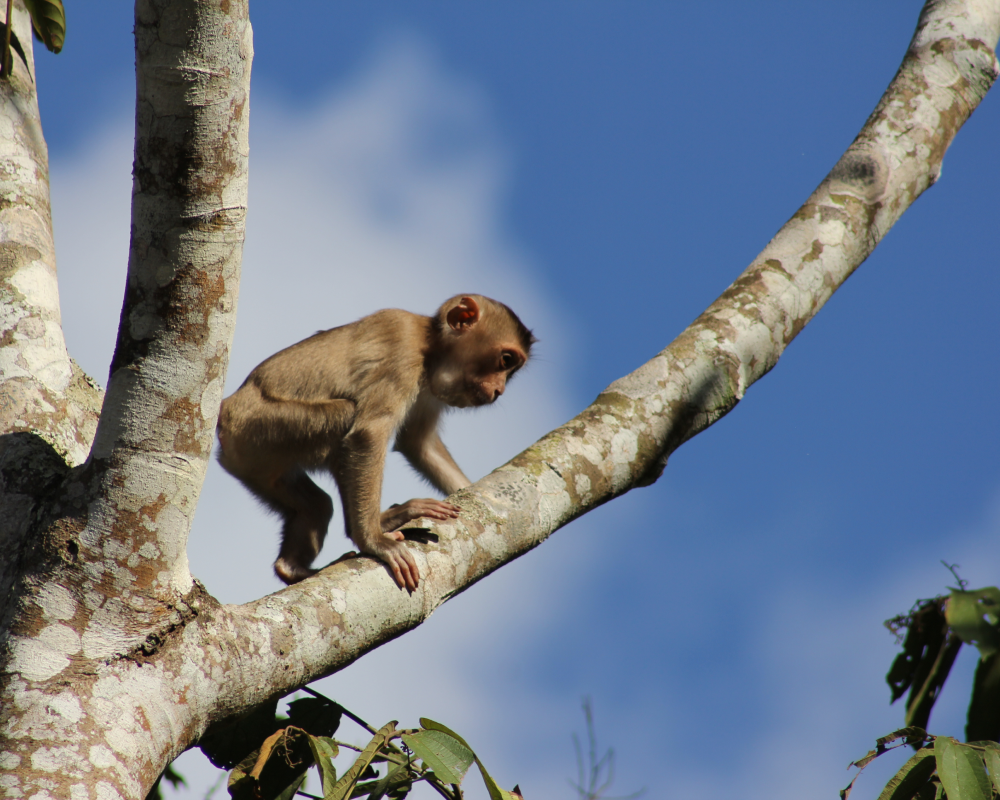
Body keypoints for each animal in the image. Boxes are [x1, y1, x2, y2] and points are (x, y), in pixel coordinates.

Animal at [216, 295, 534, 592]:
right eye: (505, 360)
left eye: (510, 370)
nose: (498, 390)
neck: (429, 344)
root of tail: (226, 411)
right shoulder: (403, 346)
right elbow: (369, 433)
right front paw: (373, 542)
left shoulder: (428, 389)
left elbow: (418, 442)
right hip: (259, 427)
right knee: (345, 417)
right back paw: (372, 528)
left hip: (255, 464)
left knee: (316, 505)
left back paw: (293, 567)